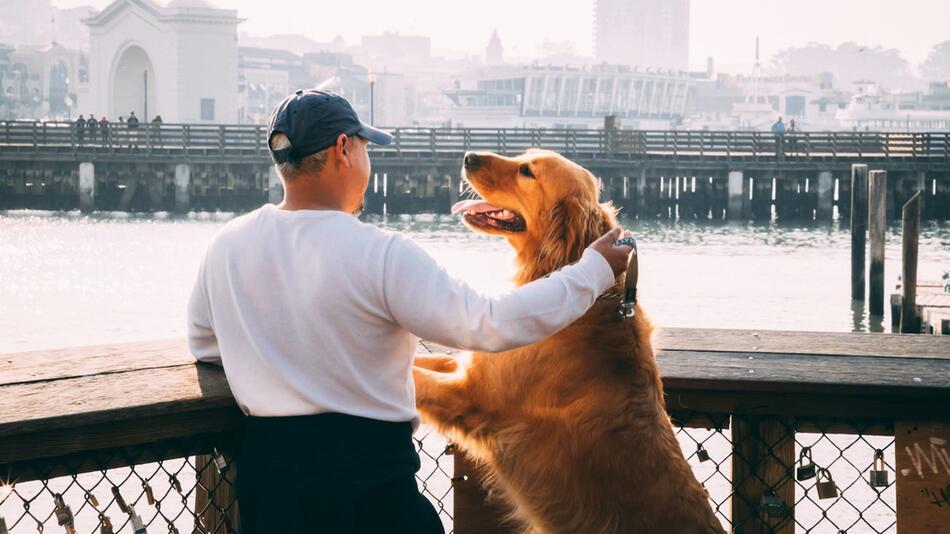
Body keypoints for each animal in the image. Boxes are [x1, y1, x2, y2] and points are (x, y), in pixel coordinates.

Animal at [412, 151, 724, 534]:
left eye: (527, 171)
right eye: (523, 156)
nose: (468, 156)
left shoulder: (470, 396)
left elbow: (414, 379)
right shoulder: (469, 367)